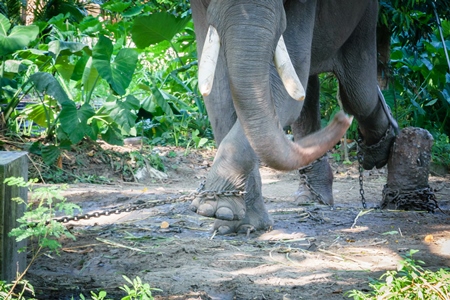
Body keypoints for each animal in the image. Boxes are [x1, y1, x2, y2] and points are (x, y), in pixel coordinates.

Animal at [189, 0, 398, 234]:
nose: (341, 120)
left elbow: (289, 83)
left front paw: (213, 207)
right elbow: (217, 94)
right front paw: (231, 219)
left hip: (365, 17)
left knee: (358, 94)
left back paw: (380, 149)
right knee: (318, 88)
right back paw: (311, 197)